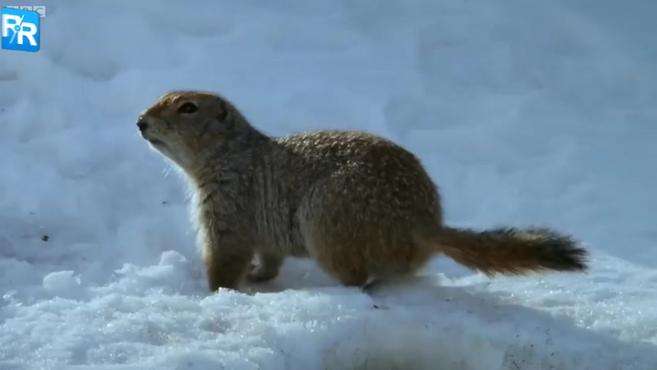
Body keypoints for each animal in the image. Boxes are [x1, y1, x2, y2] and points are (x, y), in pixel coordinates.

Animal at [136, 91, 588, 290]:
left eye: (188, 108)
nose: (140, 121)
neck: (230, 153)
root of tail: (426, 224)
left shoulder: (227, 205)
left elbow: (224, 256)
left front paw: (216, 291)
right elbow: (269, 257)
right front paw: (259, 276)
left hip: (327, 222)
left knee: (357, 277)